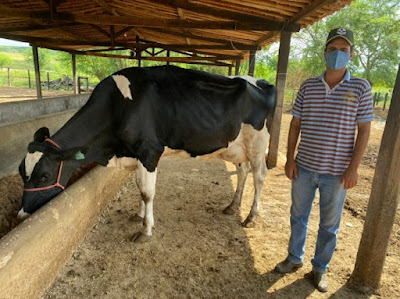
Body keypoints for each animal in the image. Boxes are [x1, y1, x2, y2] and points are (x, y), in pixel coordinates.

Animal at [18, 65, 276, 244]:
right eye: (22, 172)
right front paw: (138, 215)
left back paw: (251, 217)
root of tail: (261, 81)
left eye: (44, 175)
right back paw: (232, 206)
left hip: (258, 142)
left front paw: (145, 230)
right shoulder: (134, 156)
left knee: (259, 176)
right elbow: (138, 188)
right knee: (243, 173)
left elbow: (147, 192)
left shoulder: (149, 152)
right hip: (237, 147)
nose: (20, 214)